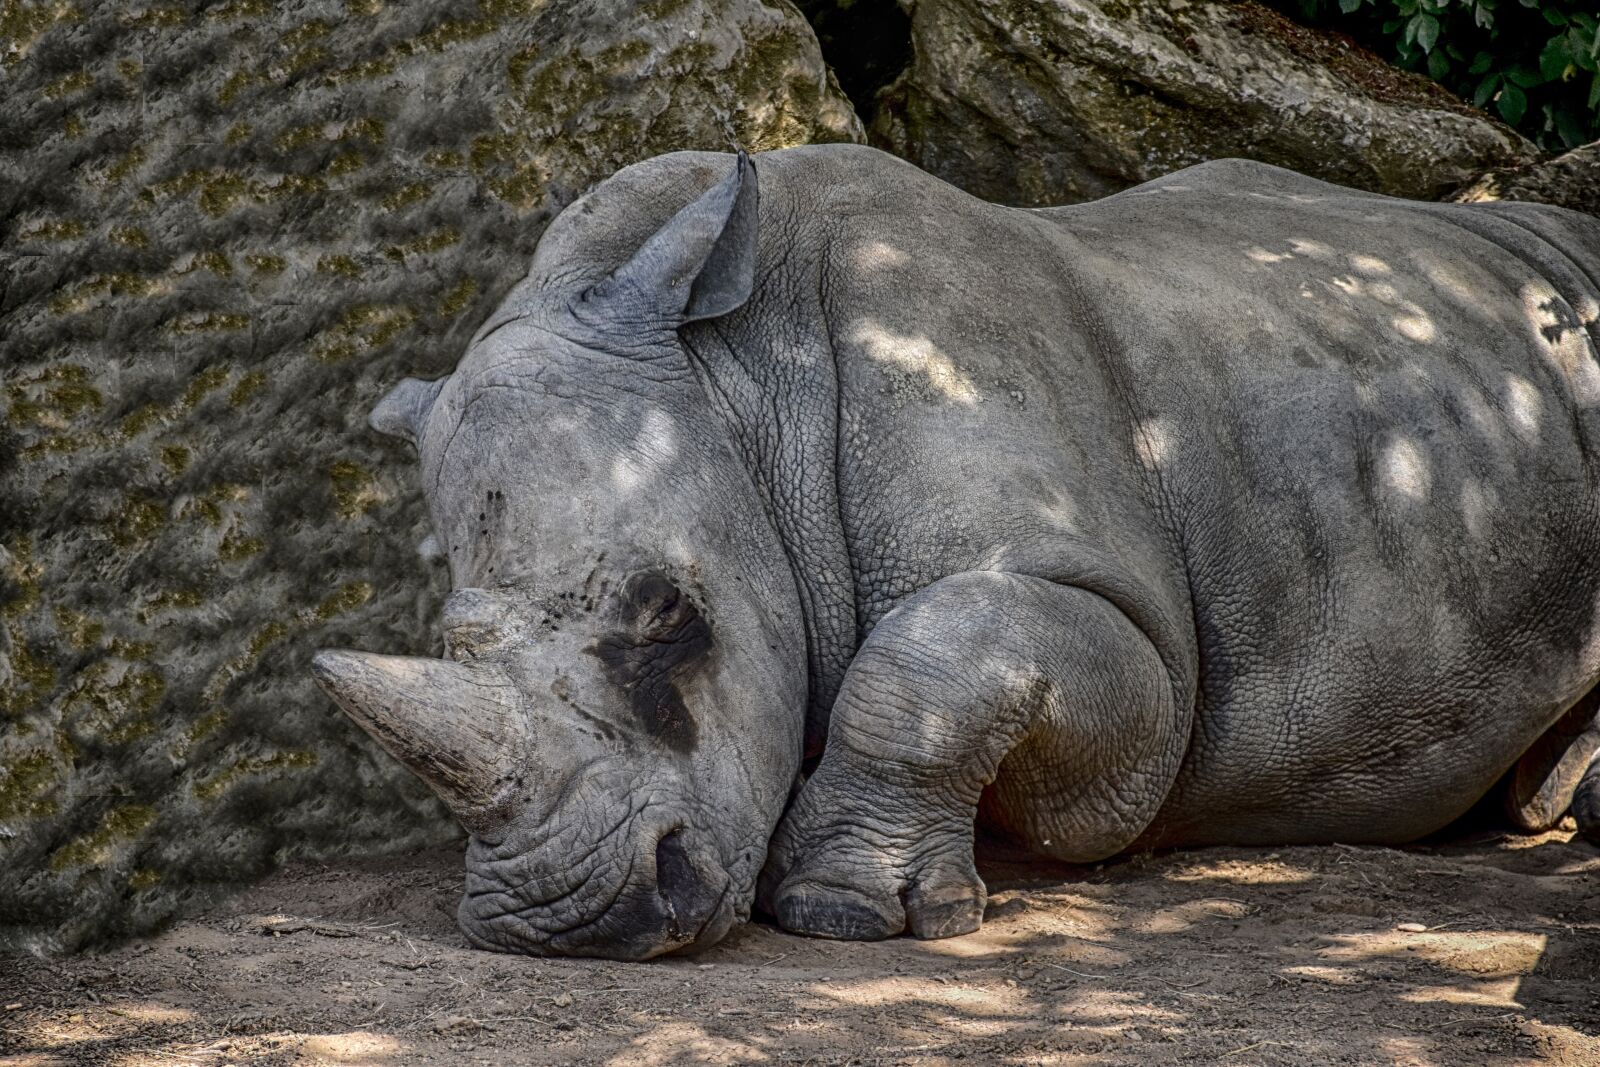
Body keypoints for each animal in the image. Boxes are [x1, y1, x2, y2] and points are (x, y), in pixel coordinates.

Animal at [312, 144, 1600, 960]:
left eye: (668, 615)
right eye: (450, 643)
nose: (569, 922)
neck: (738, 380)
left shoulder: (1128, 632)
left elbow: (938, 654)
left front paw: (840, 910)